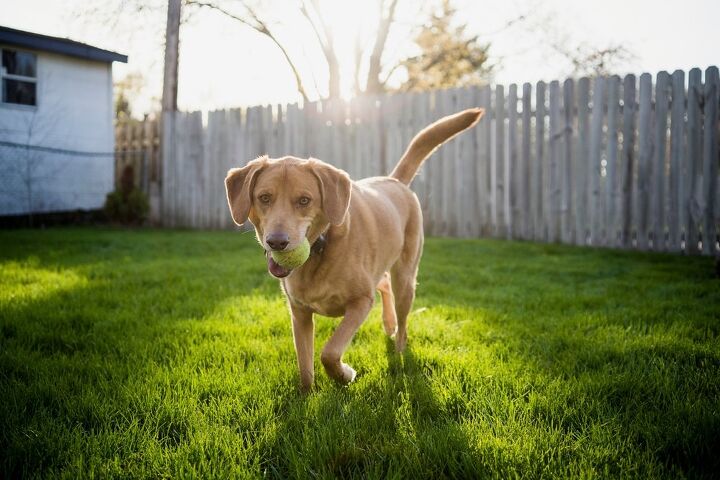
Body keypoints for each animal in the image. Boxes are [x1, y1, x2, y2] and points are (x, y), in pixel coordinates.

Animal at [225, 109, 484, 390]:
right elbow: (305, 367)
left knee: (401, 315)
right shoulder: (299, 314)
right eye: (264, 198)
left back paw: (399, 348)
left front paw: (344, 374)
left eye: (304, 200)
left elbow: (329, 352)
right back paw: (388, 323)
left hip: (405, 277)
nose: (276, 242)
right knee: (384, 284)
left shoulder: (361, 302)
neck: (321, 246)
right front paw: (306, 394)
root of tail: (394, 180)